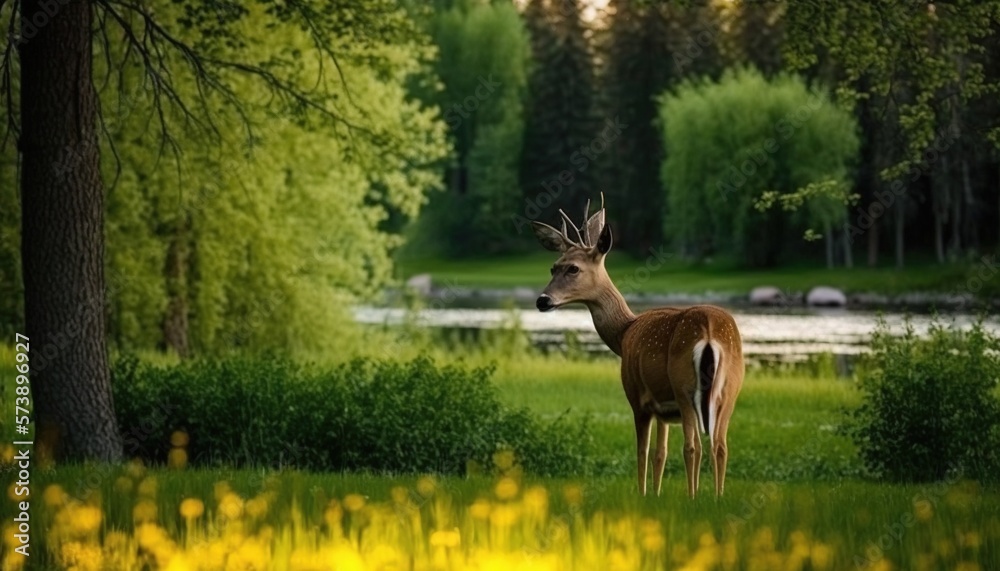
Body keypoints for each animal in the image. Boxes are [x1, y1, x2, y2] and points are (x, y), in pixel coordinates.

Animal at [532, 199, 744, 498]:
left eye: (572, 268)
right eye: (553, 267)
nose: (542, 300)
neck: (624, 333)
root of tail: (710, 332)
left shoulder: (638, 398)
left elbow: (642, 452)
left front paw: (643, 494)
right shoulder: (665, 411)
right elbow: (660, 454)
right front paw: (656, 494)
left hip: (684, 387)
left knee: (693, 447)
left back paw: (694, 498)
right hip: (730, 389)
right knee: (719, 446)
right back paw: (716, 497)